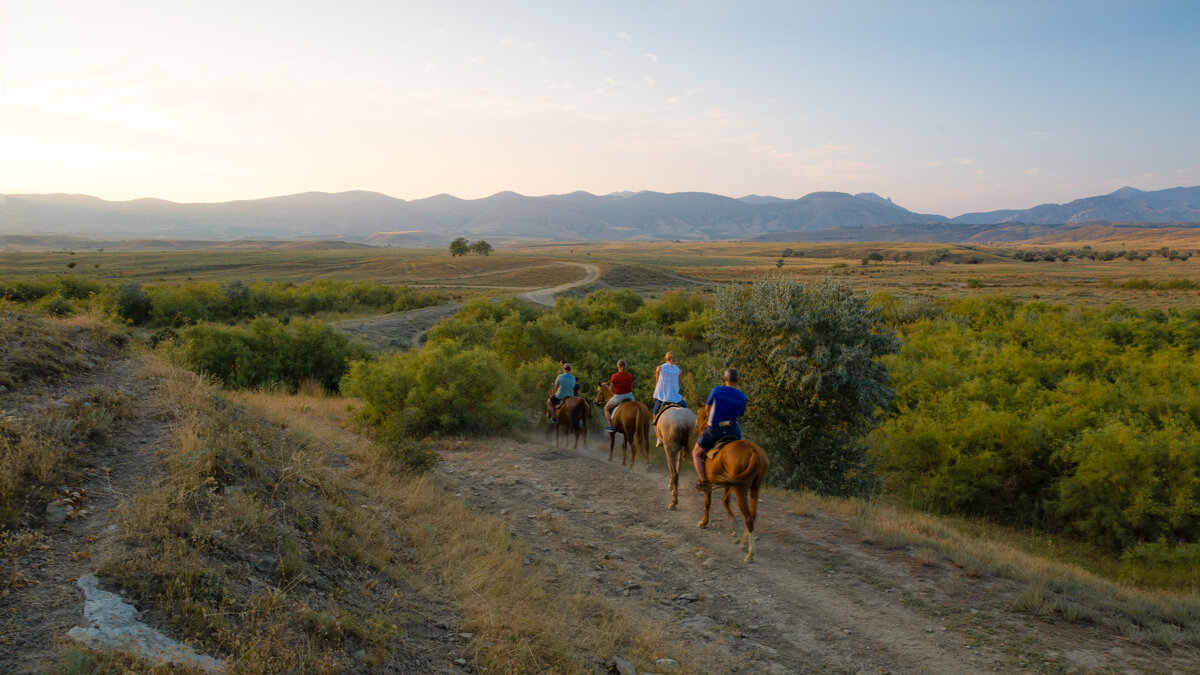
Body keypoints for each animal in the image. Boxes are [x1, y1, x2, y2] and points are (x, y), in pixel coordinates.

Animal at [696, 398, 768, 562]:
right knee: (753, 515)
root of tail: (754, 452)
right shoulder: (728, 482)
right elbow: (725, 501)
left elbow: (708, 502)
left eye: (700, 414)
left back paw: (750, 553)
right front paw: (733, 522)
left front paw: (704, 522)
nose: (697, 427)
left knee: (748, 517)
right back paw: (744, 543)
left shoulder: (711, 482)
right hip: (754, 487)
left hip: (741, 488)